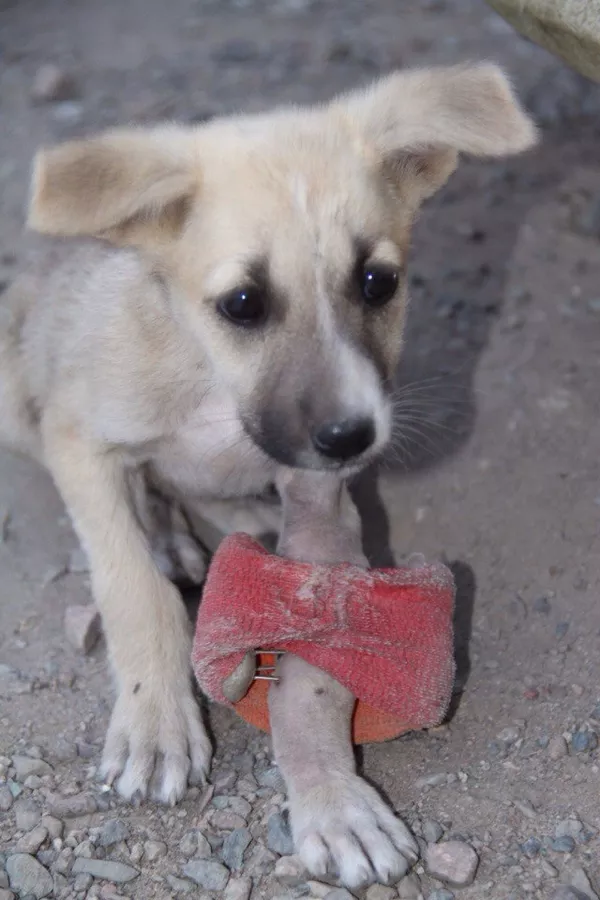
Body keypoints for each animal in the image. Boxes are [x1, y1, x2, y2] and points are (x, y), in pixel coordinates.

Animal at [0, 61, 536, 884]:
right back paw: (174, 541)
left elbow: (312, 672)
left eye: (378, 282)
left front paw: (334, 802)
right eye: (243, 302)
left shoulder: (320, 505)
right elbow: (134, 590)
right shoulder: (79, 441)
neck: (211, 380)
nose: (352, 437)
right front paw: (154, 721)